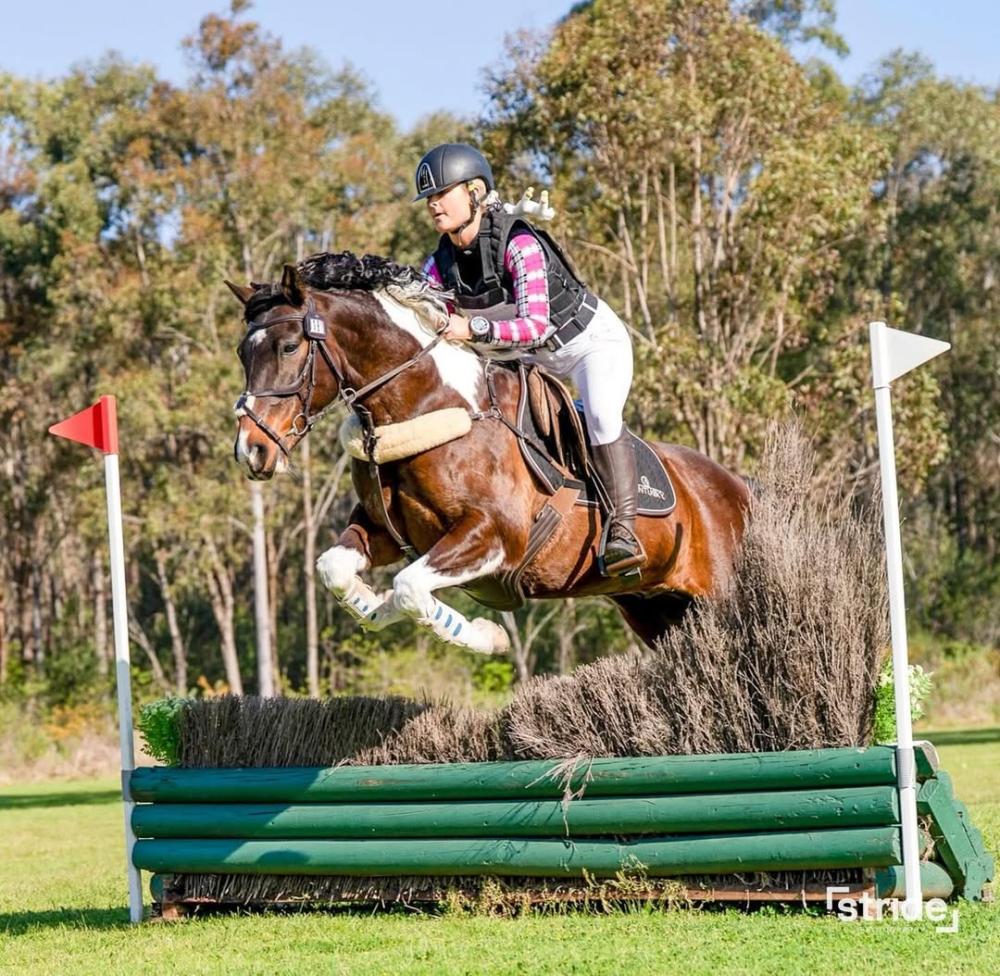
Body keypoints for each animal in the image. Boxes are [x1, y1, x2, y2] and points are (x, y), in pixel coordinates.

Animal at [229, 253, 750, 653]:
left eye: (289, 347)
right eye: (242, 353)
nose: (251, 450)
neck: (428, 403)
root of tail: (738, 486)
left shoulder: (493, 535)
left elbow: (409, 587)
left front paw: (484, 635)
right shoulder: (384, 529)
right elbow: (335, 570)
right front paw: (371, 604)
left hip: (718, 597)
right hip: (655, 607)